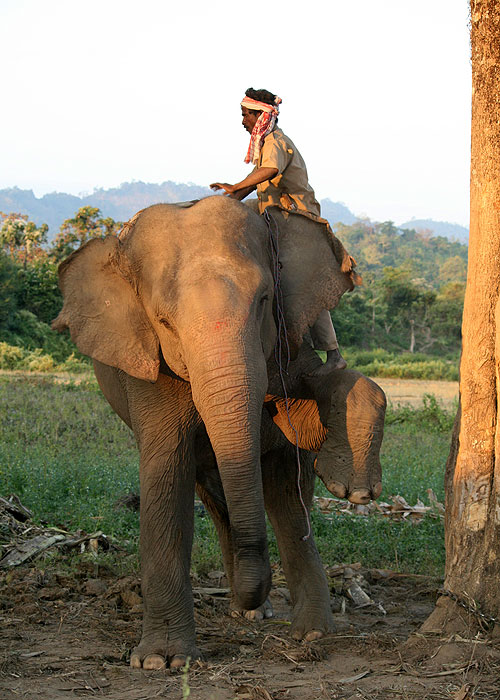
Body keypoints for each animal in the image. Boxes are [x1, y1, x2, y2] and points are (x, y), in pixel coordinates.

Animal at [52, 198, 384, 672]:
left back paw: (306, 631)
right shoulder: (148, 364)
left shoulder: (289, 333)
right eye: (164, 322)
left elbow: (302, 423)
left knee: (285, 494)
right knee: (221, 494)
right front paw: (162, 663)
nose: (253, 595)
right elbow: (166, 471)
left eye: (264, 300)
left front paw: (353, 489)